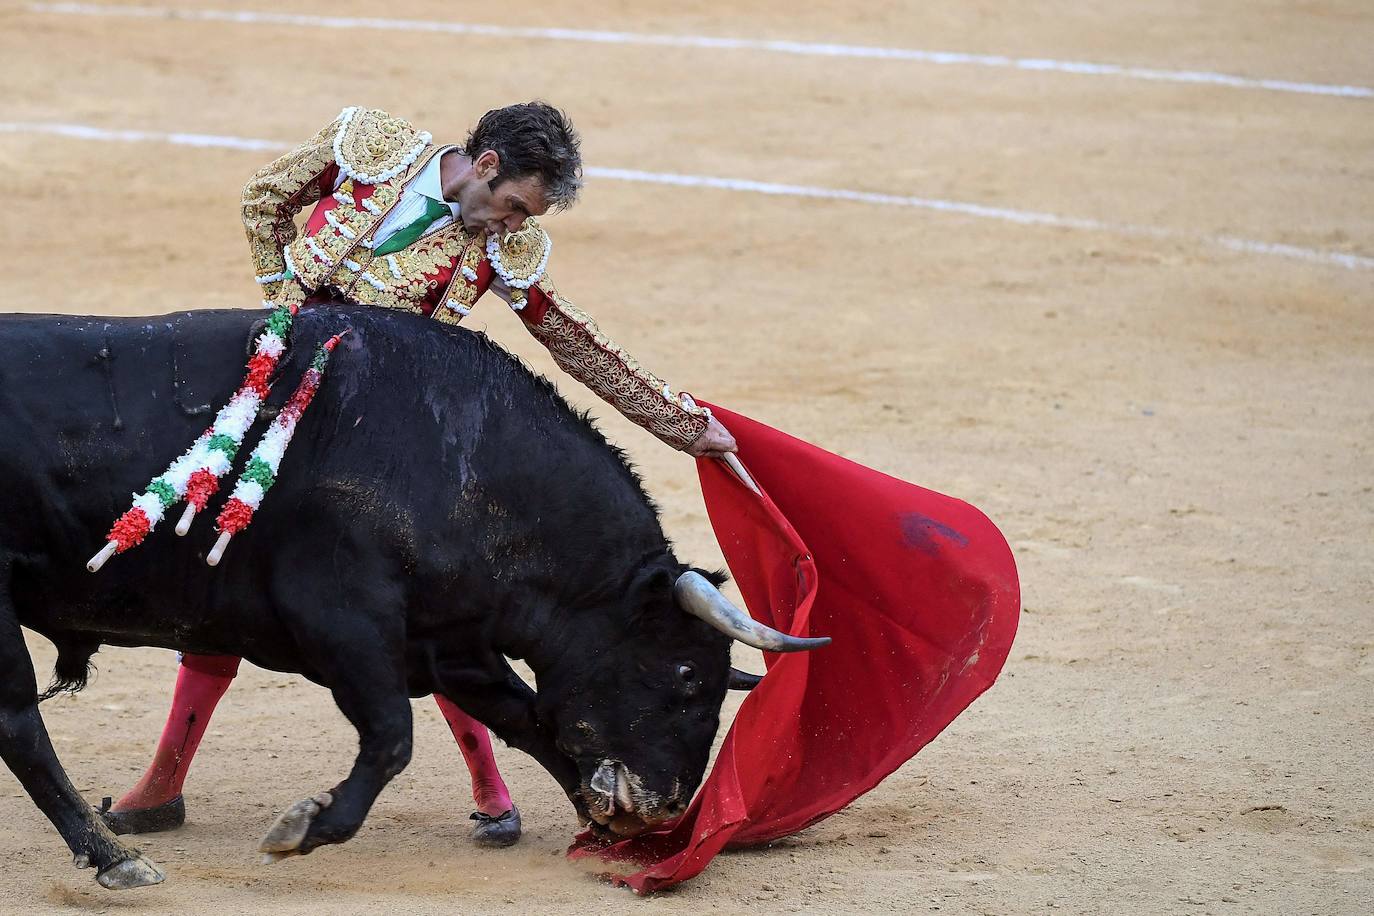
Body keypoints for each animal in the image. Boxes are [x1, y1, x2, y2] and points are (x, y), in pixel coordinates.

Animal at [0, 306, 813, 889]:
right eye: (685, 673)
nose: (667, 808)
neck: (464, 459)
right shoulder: (341, 621)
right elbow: (394, 734)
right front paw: (305, 828)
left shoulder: (452, 642)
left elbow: (528, 719)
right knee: (20, 726)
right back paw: (113, 856)